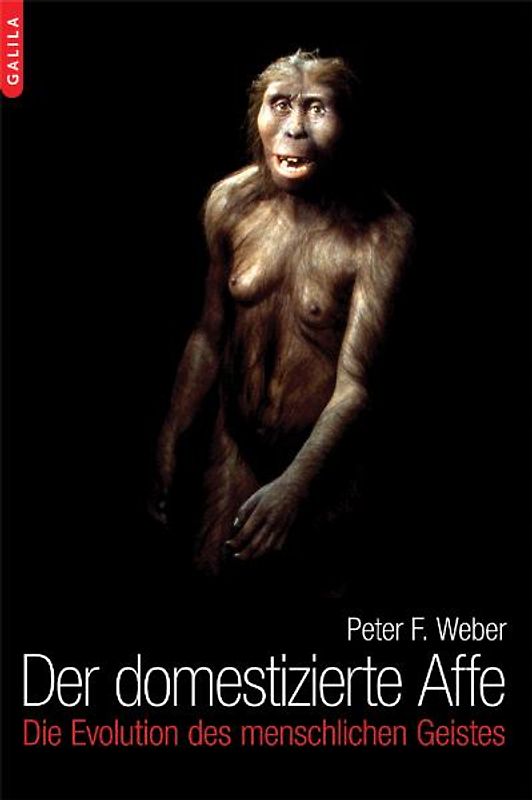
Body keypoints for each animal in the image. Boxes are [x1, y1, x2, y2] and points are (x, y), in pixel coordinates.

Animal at [150, 51, 413, 582]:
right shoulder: (220, 204)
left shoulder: (393, 244)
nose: (294, 132)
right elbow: (210, 330)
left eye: (315, 108)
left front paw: (280, 501)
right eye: (282, 103)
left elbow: (355, 380)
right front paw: (169, 464)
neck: (308, 198)